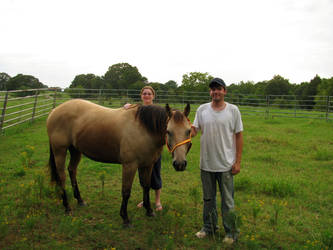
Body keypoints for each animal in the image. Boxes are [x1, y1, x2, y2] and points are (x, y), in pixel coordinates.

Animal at [46, 98, 192, 226]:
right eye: (168, 131)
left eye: (188, 131)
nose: (180, 164)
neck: (143, 129)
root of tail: (54, 111)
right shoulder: (129, 165)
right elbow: (126, 191)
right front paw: (125, 218)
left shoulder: (148, 164)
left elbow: (146, 186)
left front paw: (149, 211)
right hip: (60, 151)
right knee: (62, 176)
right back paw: (67, 207)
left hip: (75, 150)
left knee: (72, 171)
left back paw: (80, 200)